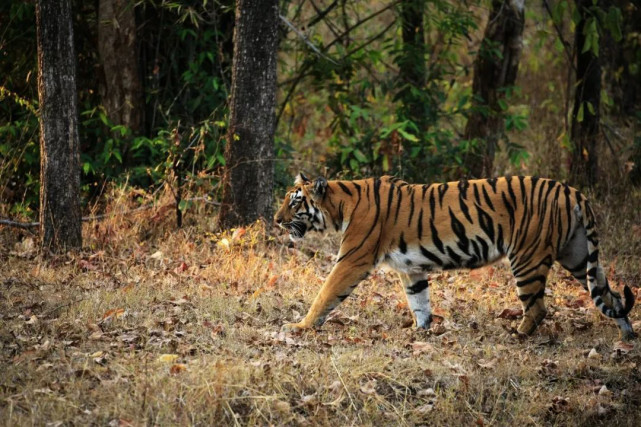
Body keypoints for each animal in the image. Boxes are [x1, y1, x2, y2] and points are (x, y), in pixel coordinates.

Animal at [274, 174, 636, 342]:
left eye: (294, 202)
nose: (276, 220)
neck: (340, 205)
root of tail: (572, 191)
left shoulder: (352, 259)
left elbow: (325, 294)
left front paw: (300, 325)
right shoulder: (410, 268)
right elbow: (419, 302)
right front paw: (420, 332)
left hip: (527, 257)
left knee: (538, 308)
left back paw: (516, 335)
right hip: (577, 255)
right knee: (612, 295)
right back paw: (628, 336)